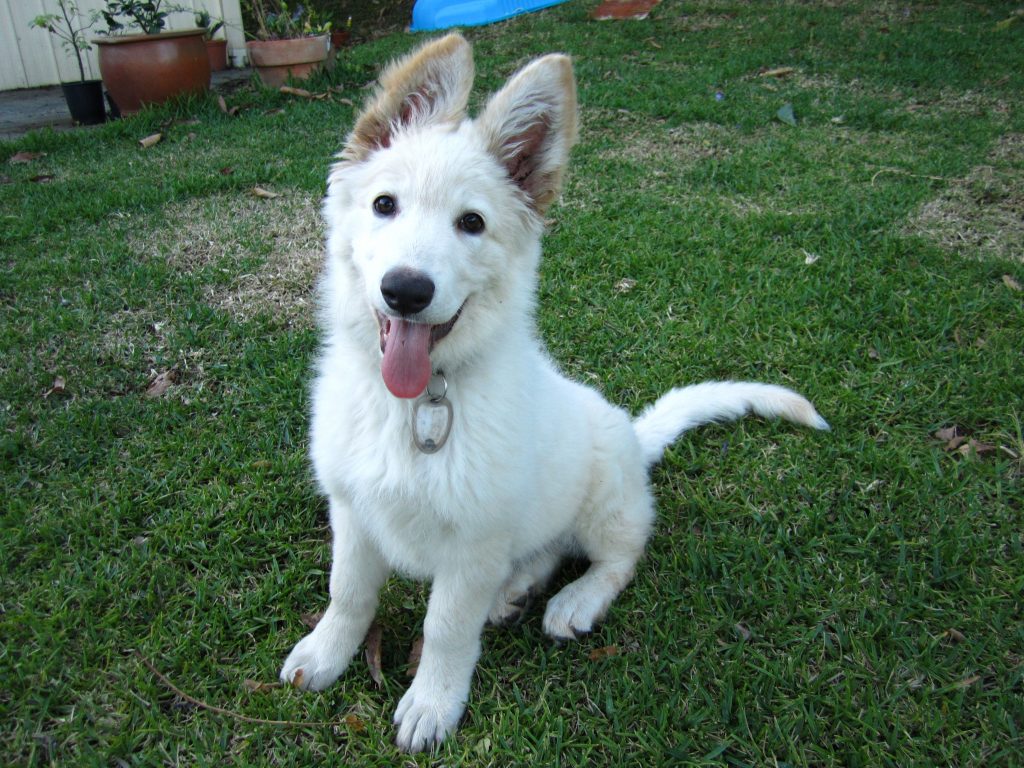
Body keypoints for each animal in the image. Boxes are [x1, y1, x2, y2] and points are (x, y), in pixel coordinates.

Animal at [282, 34, 831, 753]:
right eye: (383, 205)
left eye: (471, 223)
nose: (405, 290)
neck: (419, 401)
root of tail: (634, 435)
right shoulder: (353, 509)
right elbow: (347, 593)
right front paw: (325, 654)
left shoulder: (473, 540)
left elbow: (444, 627)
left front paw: (432, 702)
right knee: (542, 551)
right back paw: (515, 589)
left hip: (606, 503)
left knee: (622, 554)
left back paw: (574, 600)